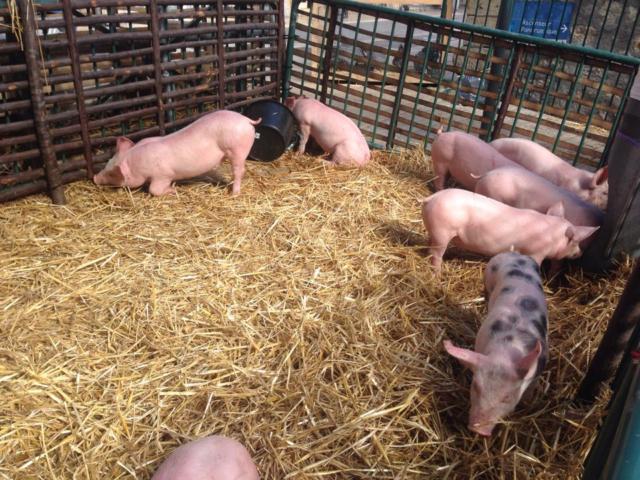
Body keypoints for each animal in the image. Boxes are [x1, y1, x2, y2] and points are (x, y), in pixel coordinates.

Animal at [92, 109, 260, 196]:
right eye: (107, 163)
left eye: (112, 174)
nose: (94, 178)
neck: (136, 161)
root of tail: (246, 119)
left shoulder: (162, 174)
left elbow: (154, 190)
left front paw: (172, 189)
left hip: (237, 149)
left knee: (239, 171)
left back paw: (233, 193)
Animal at [422, 188, 596, 270]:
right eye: (575, 242)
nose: (580, 253)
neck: (552, 235)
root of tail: (431, 197)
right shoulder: (535, 252)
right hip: (442, 231)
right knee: (436, 254)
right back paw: (437, 274)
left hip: (435, 231)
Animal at [444, 253, 544, 436]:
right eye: (476, 387)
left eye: (507, 397)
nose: (479, 430)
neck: (505, 349)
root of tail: (514, 253)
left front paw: (528, 403)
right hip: (487, 280)